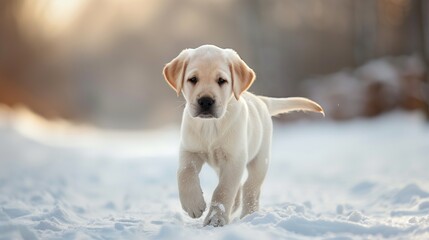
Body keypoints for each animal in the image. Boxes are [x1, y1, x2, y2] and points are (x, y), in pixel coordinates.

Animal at [162, 45, 322, 227]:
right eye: (193, 79)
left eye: (222, 80)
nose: (205, 101)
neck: (210, 126)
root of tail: (261, 100)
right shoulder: (190, 151)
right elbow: (185, 173)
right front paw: (193, 204)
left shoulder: (234, 158)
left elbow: (223, 190)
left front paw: (216, 219)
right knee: (238, 189)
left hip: (260, 160)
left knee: (250, 187)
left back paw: (249, 215)